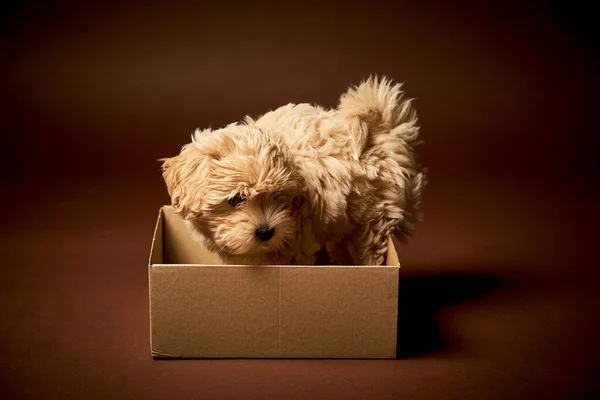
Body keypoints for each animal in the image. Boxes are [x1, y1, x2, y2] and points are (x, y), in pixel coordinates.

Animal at [161, 77, 426, 266]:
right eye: (236, 199)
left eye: (277, 197)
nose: (266, 232)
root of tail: (384, 130)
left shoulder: (296, 243)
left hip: (375, 212)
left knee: (369, 246)